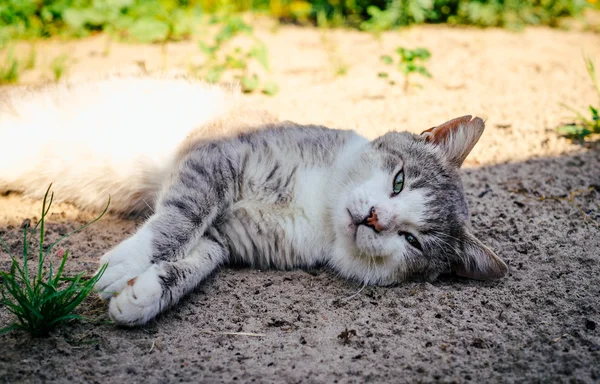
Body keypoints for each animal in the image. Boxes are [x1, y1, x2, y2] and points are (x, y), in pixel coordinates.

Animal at [0, 73, 508, 326]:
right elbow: (175, 223)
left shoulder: (227, 238)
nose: (374, 217)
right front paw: (125, 265)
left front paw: (142, 295)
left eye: (413, 241)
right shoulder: (213, 161)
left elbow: (195, 262)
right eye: (399, 181)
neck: (319, 206)